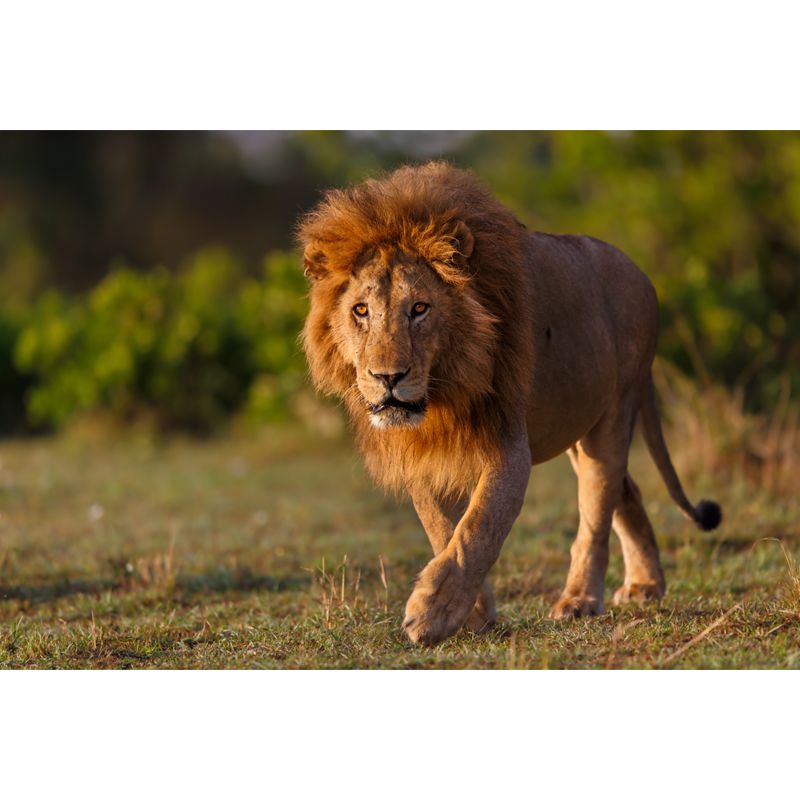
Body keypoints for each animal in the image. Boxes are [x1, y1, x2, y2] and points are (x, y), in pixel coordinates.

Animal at [298, 161, 721, 645]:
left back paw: (579, 600)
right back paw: (646, 585)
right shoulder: (421, 455)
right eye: (361, 311)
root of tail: (640, 272)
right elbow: (443, 529)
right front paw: (473, 613)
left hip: (614, 412)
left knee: (596, 512)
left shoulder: (508, 444)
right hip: (575, 426)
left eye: (420, 308)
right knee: (624, 490)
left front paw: (433, 613)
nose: (388, 378)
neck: (442, 395)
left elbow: (477, 528)